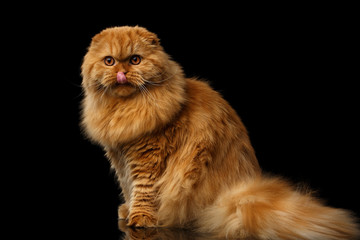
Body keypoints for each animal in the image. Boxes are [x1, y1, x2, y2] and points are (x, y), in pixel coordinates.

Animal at [80, 25, 358, 239]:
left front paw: (140, 218)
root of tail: (238, 194)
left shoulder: (148, 157)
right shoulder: (120, 157)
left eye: (135, 59)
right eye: (109, 61)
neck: (124, 109)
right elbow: (128, 187)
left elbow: (143, 191)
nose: (121, 73)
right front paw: (127, 210)